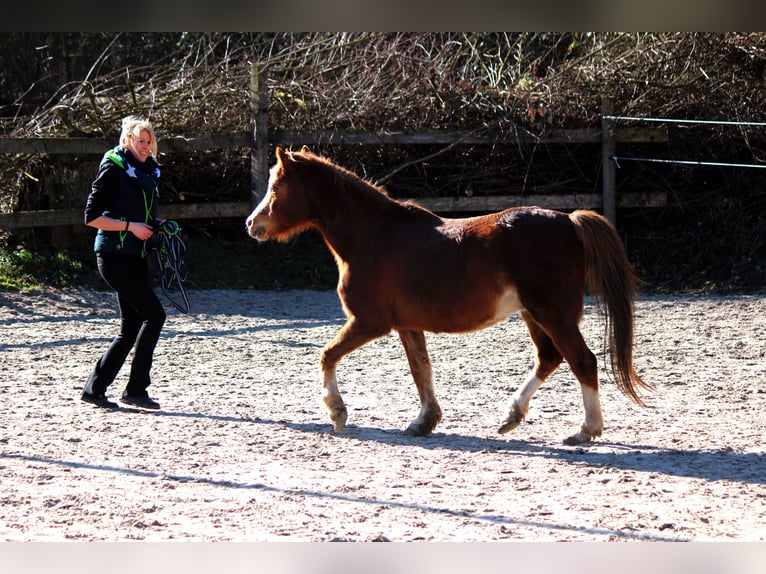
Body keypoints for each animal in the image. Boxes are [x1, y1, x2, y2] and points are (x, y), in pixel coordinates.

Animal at [246, 146, 652, 445]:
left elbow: (327, 356)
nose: (251, 224)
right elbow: (421, 370)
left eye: (276, 188)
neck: (372, 236)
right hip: (534, 315)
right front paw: (423, 423)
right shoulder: (406, 325)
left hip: (553, 315)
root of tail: (568, 220)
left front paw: (337, 412)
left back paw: (586, 430)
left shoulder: (368, 322)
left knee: (582, 361)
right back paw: (512, 417)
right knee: (550, 358)